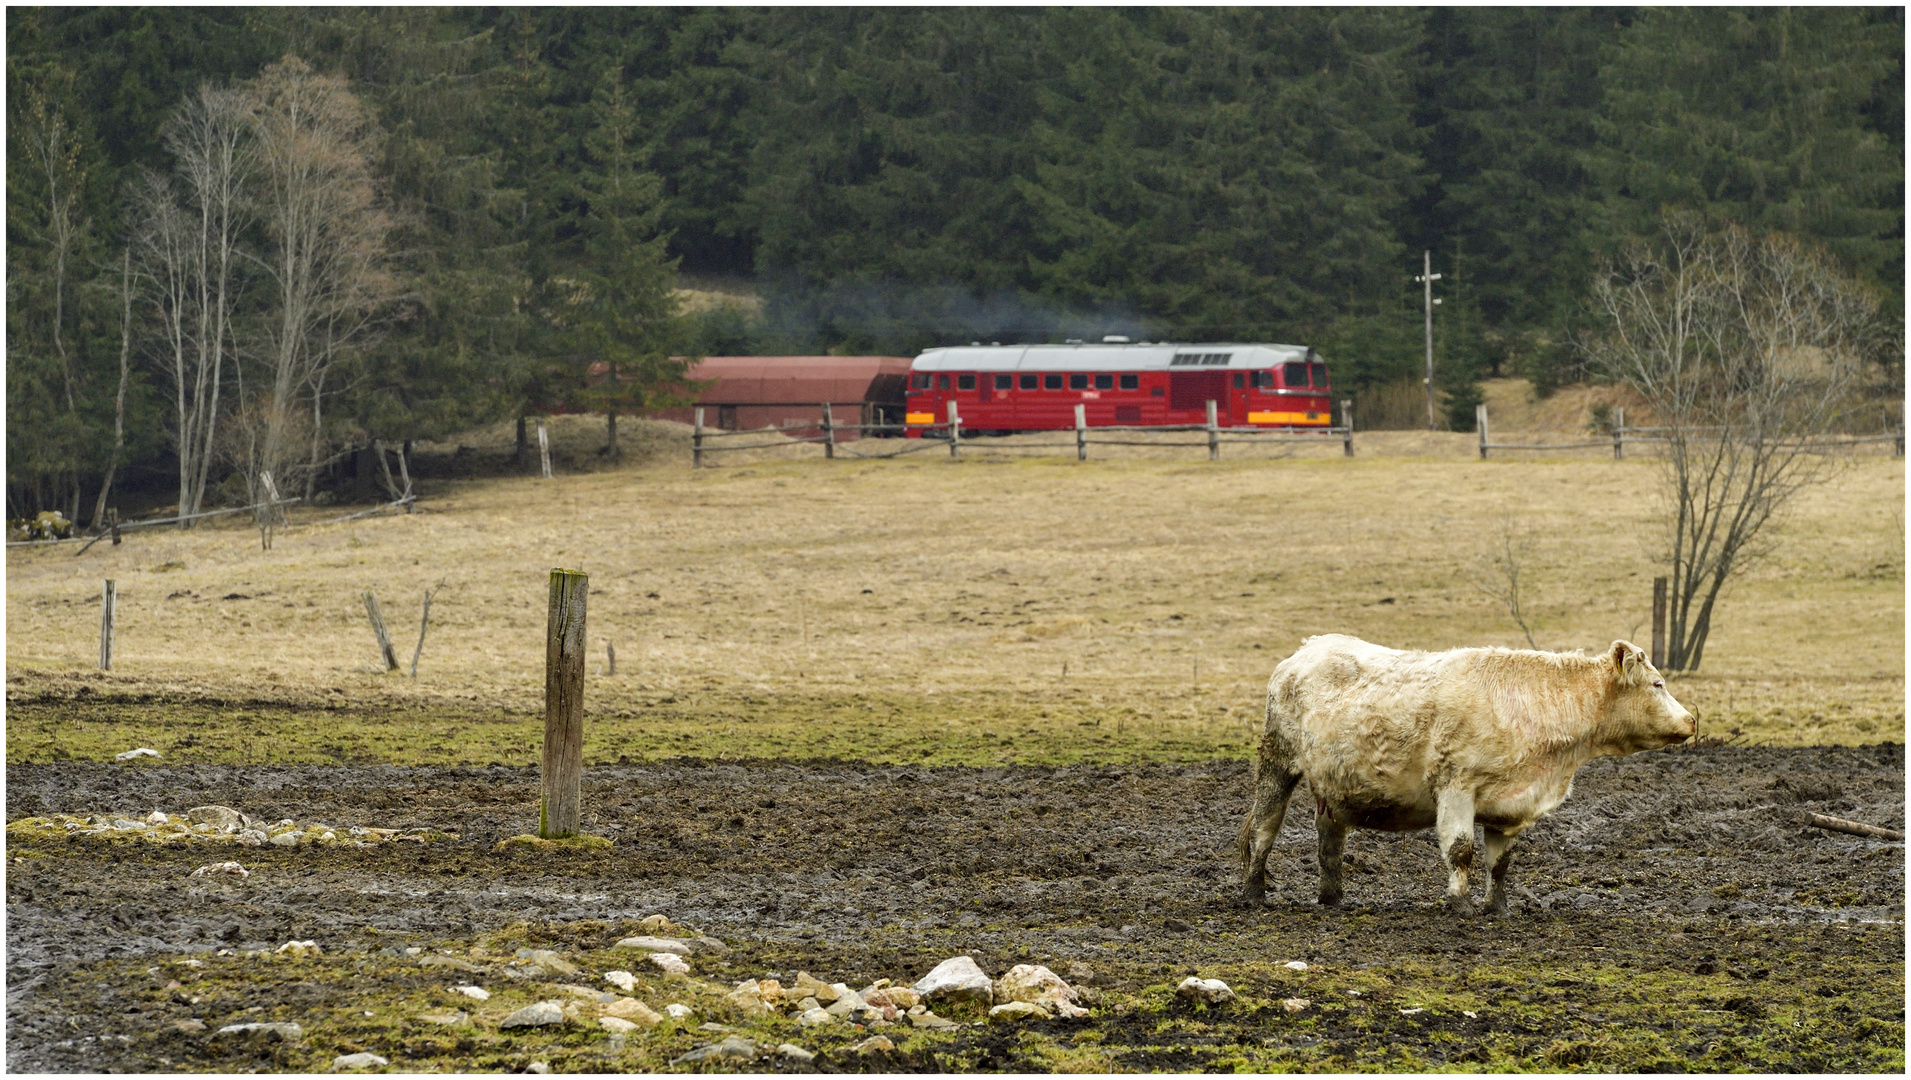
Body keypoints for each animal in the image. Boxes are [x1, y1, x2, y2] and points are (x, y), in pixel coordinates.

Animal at [1245, 634, 1696, 913]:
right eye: (1657, 684)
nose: (1691, 720)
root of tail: (1308, 648)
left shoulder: (1508, 803)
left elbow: (1500, 863)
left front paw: (1498, 908)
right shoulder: (1456, 787)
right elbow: (1460, 849)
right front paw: (1461, 905)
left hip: (1335, 789)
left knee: (1330, 844)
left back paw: (1333, 898)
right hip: (1277, 764)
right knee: (1262, 830)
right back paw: (1253, 894)